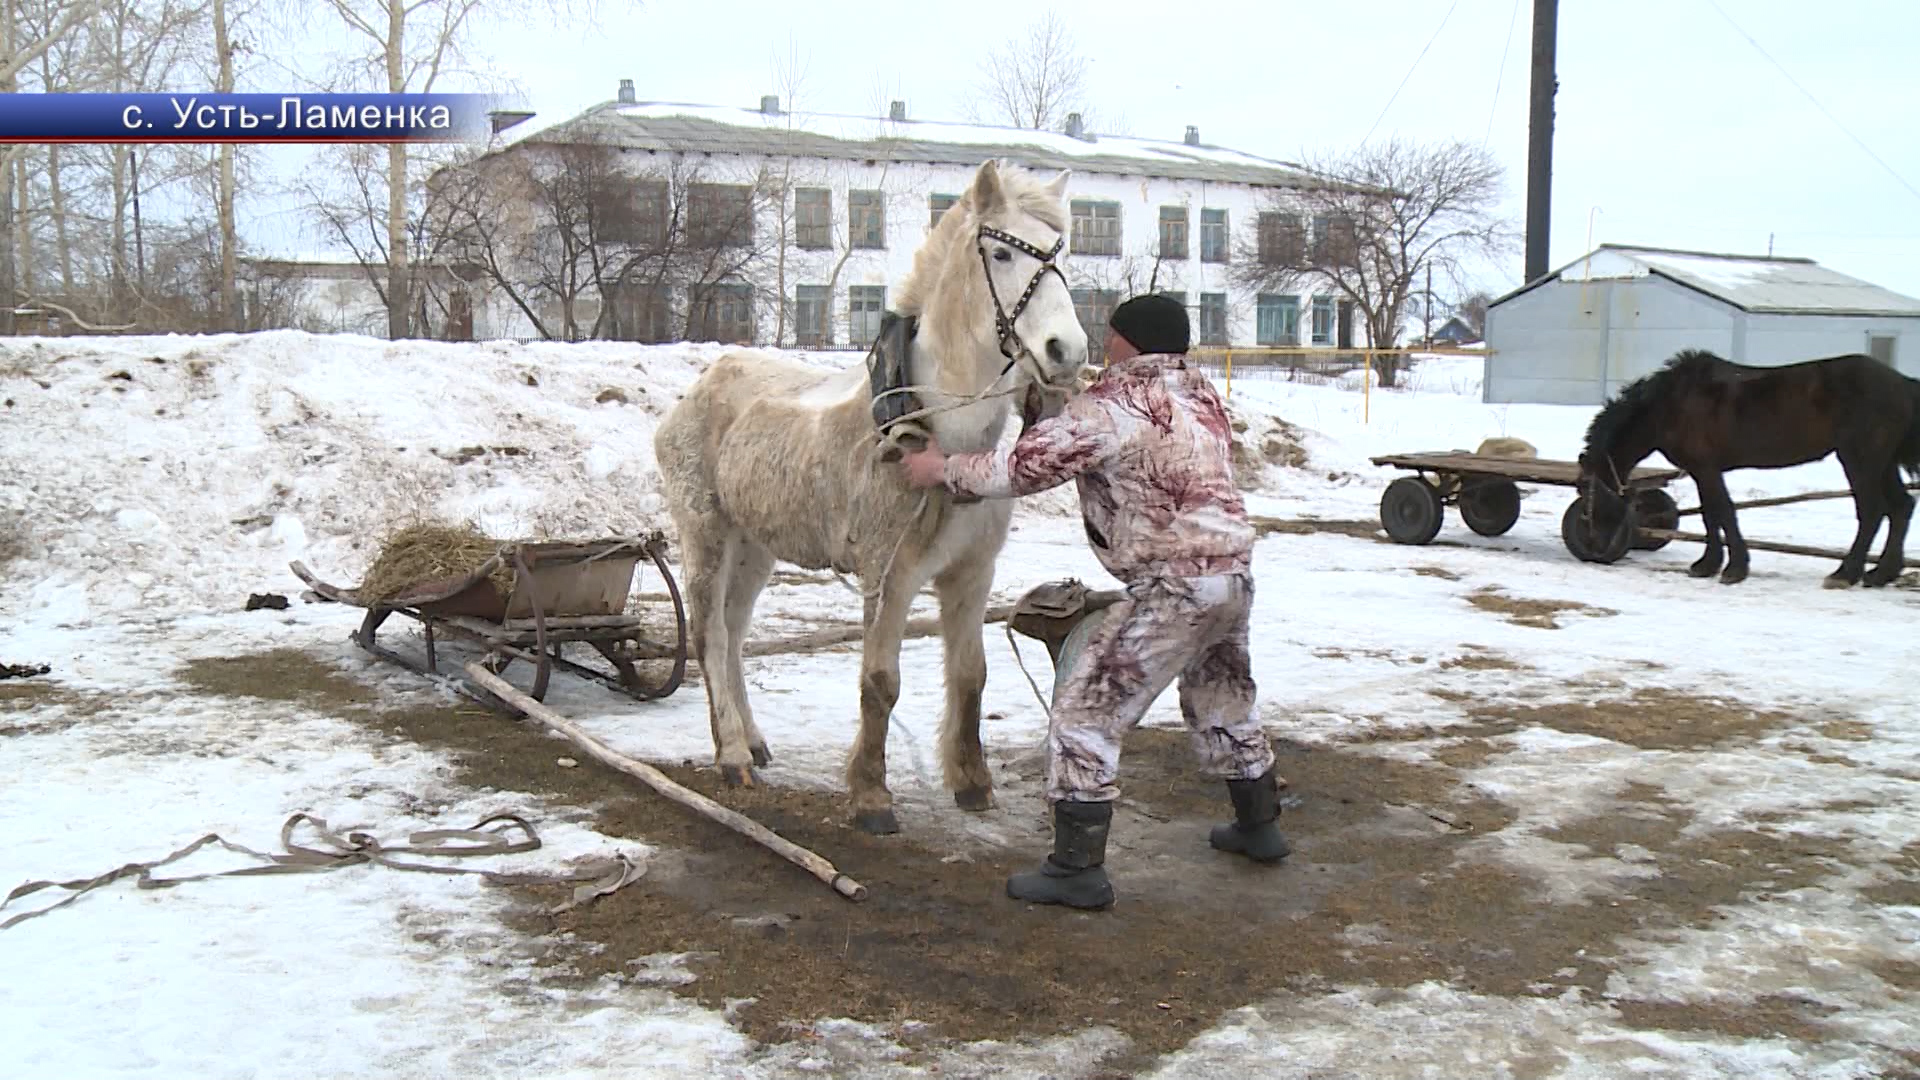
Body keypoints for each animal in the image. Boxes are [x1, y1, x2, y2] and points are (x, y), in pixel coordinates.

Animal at [652, 159, 1090, 834]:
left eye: (1059, 253)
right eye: (1001, 252)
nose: (1067, 353)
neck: (931, 428)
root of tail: (700, 387)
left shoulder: (972, 575)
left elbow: (972, 675)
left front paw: (972, 783)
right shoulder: (889, 575)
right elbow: (880, 681)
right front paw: (871, 796)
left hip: (755, 548)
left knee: (735, 630)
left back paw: (752, 741)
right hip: (707, 536)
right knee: (709, 635)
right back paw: (732, 756)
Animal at [1574, 345, 1920, 584]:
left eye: (1586, 490)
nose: (1593, 546)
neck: (1669, 405)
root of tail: (1903, 384)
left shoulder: (1708, 469)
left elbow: (1724, 512)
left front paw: (1734, 568)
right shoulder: (1701, 472)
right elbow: (1711, 515)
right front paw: (1708, 564)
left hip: (1860, 460)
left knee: (1873, 511)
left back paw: (1846, 573)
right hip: (1882, 464)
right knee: (1901, 507)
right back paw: (1881, 574)